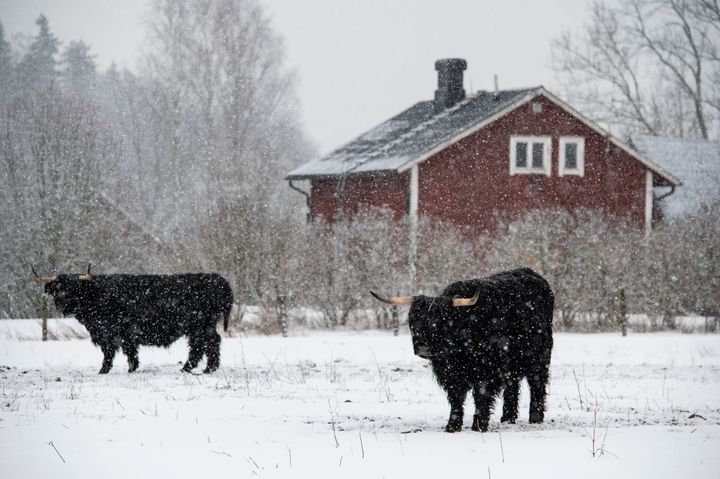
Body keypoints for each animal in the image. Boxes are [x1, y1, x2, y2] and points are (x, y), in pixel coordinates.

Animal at [35, 270, 232, 376]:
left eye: (73, 287)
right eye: (57, 288)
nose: (61, 300)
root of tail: (217, 278)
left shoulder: (111, 332)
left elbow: (112, 351)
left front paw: (105, 370)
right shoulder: (122, 334)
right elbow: (128, 350)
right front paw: (130, 368)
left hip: (199, 325)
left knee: (203, 344)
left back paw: (192, 368)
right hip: (202, 326)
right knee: (209, 343)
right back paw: (208, 368)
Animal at [374, 268, 556, 434]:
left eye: (440, 322)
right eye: (413, 320)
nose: (423, 347)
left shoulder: (486, 370)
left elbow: (481, 396)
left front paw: (479, 426)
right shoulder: (451, 373)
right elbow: (456, 398)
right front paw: (452, 426)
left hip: (539, 357)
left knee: (537, 383)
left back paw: (535, 418)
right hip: (513, 361)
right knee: (512, 385)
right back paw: (507, 418)